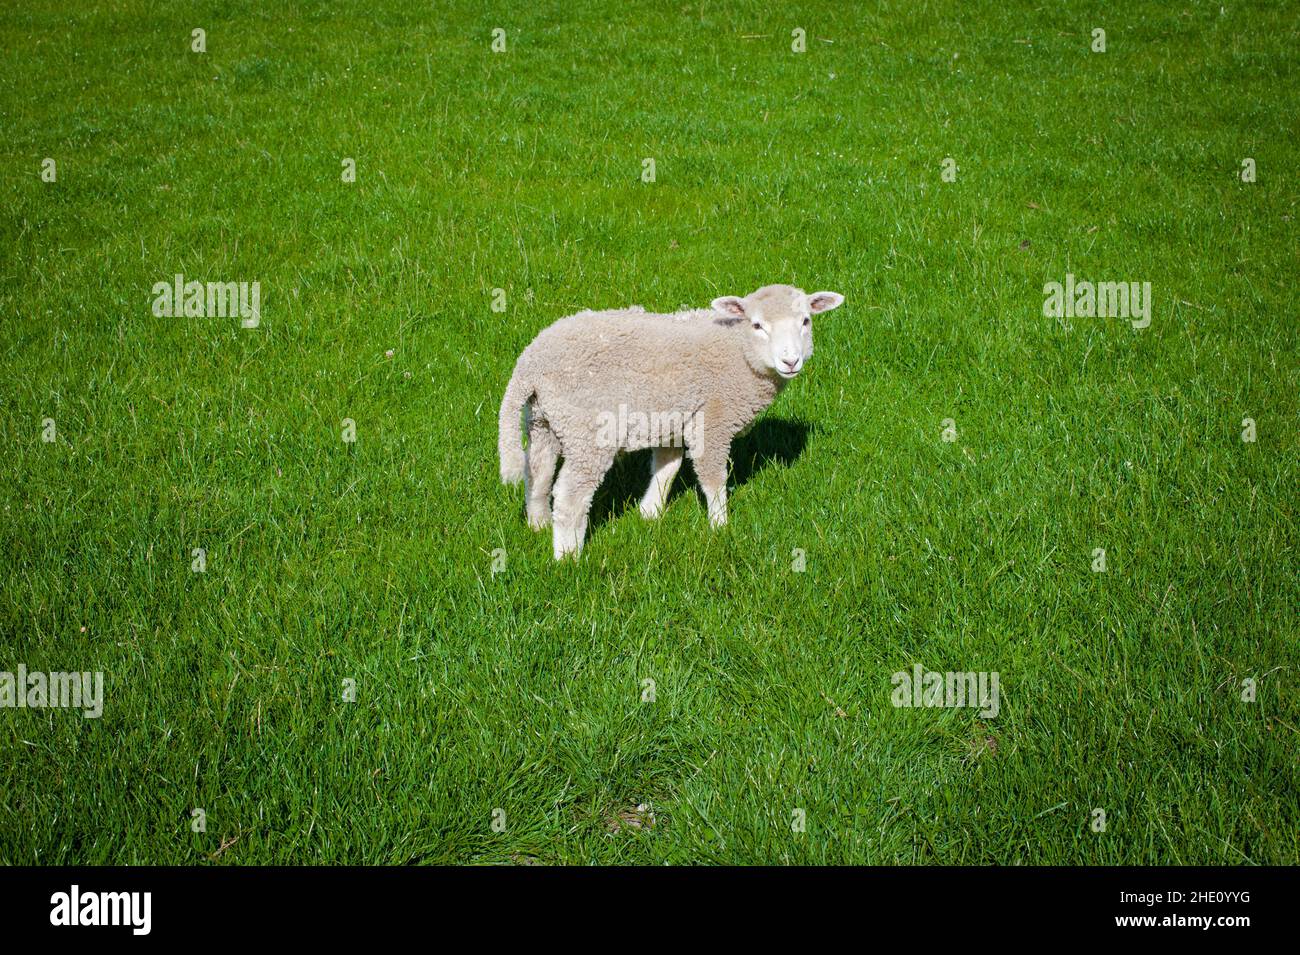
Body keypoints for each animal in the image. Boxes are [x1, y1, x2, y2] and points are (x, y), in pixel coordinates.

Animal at [498, 284, 845, 559]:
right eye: (758, 325)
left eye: (805, 321)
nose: (790, 361)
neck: (738, 350)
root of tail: (530, 363)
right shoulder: (712, 420)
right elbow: (713, 478)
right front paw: (720, 527)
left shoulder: (674, 419)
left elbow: (667, 467)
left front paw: (649, 512)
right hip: (587, 430)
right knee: (570, 495)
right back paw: (567, 557)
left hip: (543, 420)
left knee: (538, 471)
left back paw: (538, 524)